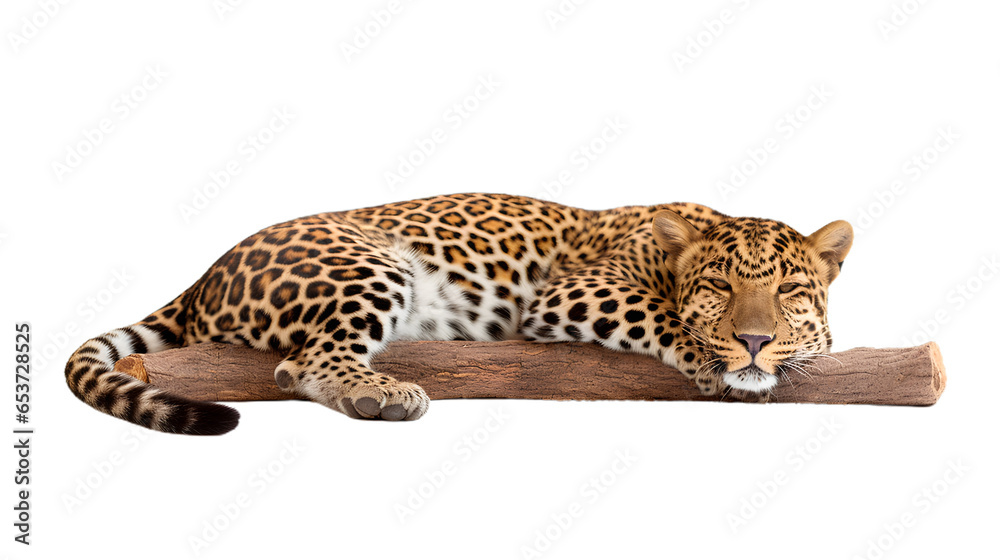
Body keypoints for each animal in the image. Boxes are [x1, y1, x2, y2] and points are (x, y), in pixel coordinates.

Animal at [64, 193, 853, 435]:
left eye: (790, 289)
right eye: (718, 284)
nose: (754, 340)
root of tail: (205, 275)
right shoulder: (572, 292)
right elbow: (658, 315)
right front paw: (712, 360)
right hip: (371, 264)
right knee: (307, 361)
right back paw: (379, 394)